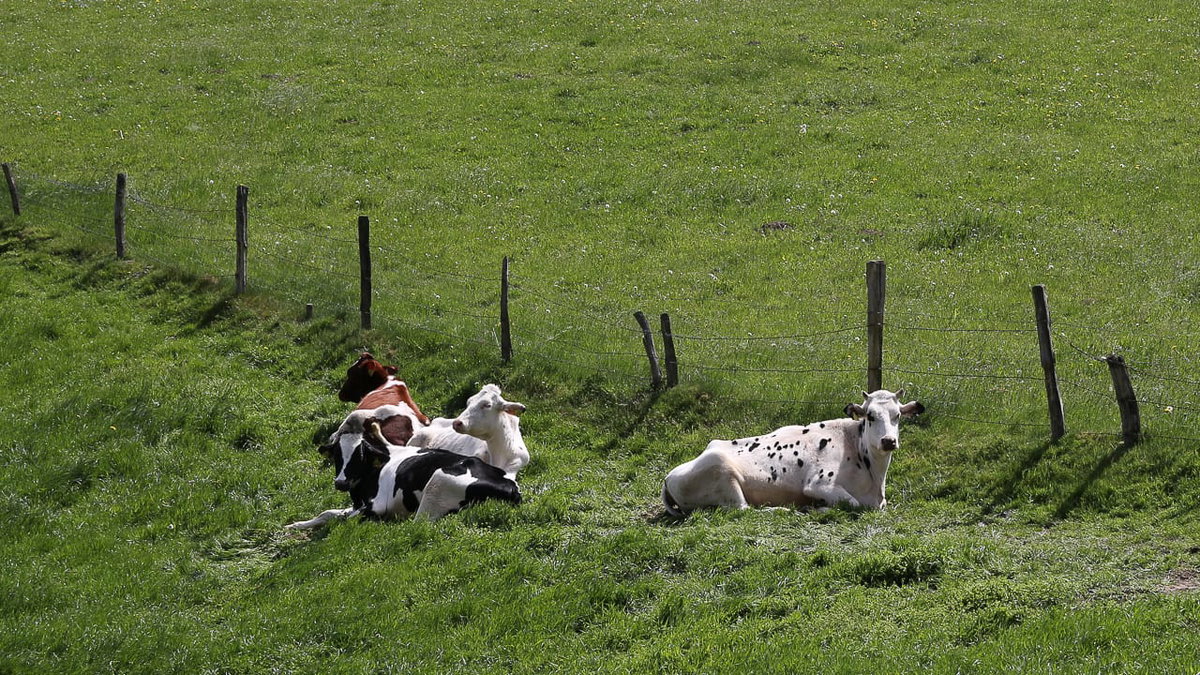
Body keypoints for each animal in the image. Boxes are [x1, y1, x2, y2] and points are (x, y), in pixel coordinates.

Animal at [661, 390, 924, 515]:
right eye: (870, 416)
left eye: (897, 416)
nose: (888, 441)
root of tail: (668, 477)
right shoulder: (819, 484)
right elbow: (853, 503)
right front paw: (817, 507)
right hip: (723, 475)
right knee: (744, 510)